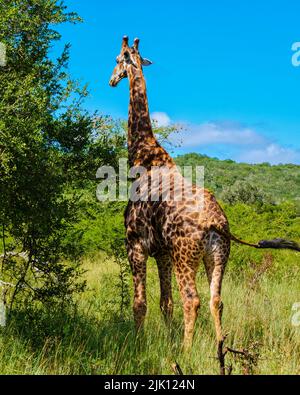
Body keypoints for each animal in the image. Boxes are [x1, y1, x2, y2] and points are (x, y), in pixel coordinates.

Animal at [109, 36, 298, 374]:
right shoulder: (163, 252)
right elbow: (165, 303)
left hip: (186, 255)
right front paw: (167, 341)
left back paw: (186, 353)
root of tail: (217, 222)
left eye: (119, 59)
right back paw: (221, 351)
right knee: (216, 300)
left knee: (192, 299)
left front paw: (140, 343)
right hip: (218, 255)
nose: (111, 79)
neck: (142, 156)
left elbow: (140, 303)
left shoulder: (136, 244)